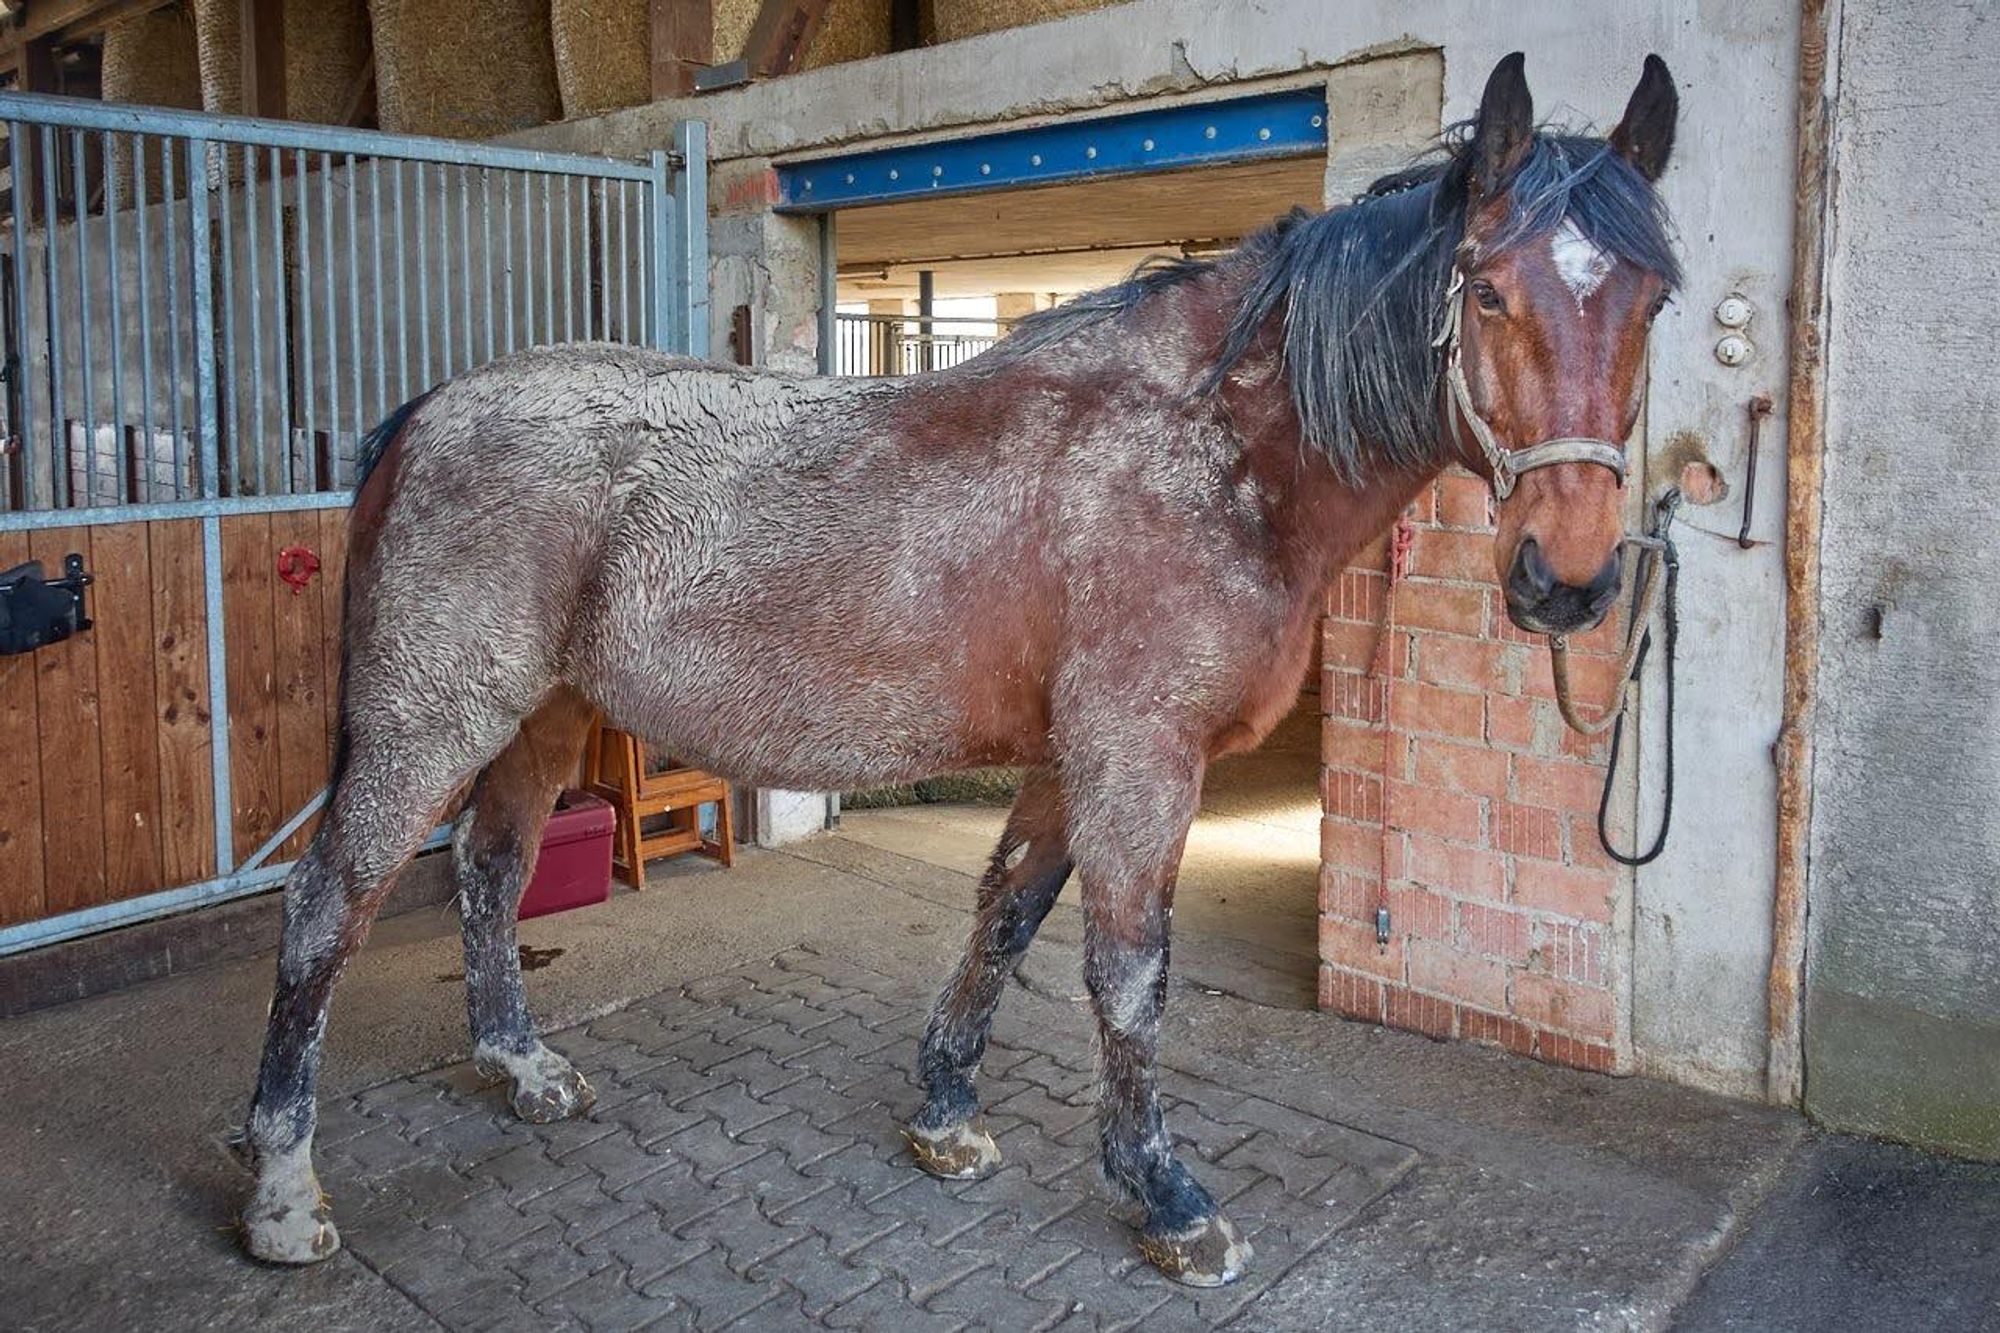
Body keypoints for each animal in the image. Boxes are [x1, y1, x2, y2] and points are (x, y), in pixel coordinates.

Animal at [246, 54, 1688, 1288]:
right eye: (1487, 291)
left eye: (1651, 302)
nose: (1568, 575)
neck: (1210, 455)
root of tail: (430, 412)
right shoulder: (1137, 761)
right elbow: (1128, 972)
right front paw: (1168, 1198)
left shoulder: (1069, 761)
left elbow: (1007, 916)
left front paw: (945, 1113)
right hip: (433, 720)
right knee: (326, 910)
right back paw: (281, 1190)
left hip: (545, 715)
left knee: (492, 872)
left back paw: (522, 1069)